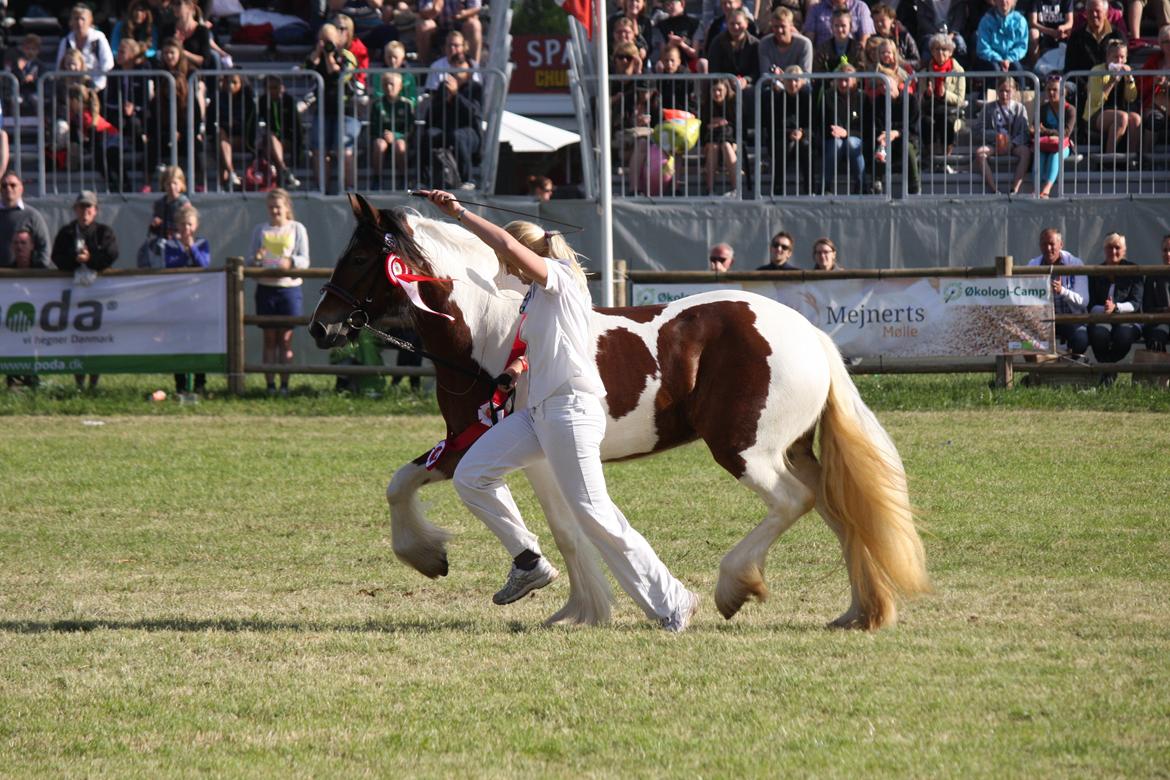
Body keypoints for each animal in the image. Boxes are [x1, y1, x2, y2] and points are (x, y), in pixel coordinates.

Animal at [311, 195, 931, 626]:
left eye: (360, 254)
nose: (321, 326)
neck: (491, 332)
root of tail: (812, 337)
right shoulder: (470, 440)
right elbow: (403, 483)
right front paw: (431, 556)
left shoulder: (527, 454)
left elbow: (565, 530)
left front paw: (572, 606)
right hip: (794, 450)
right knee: (838, 510)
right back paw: (858, 614)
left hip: (745, 450)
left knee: (792, 501)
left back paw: (733, 587)